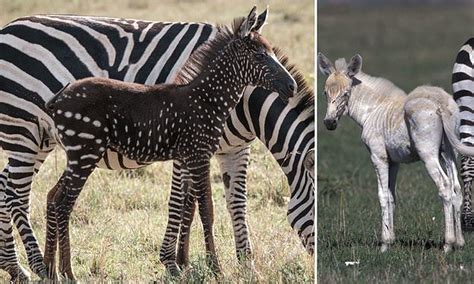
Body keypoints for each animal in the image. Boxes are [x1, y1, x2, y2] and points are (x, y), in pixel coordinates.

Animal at [0, 12, 314, 280]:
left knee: (26, 192)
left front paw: (236, 264)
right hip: (29, 134)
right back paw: (44, 268)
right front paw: (190, 265)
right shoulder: (195, 152)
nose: (291, 88)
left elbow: (223, 203)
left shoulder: (226, 150)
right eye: (260, 55)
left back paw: (29, 268)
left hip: (45, 142)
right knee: (22, 196)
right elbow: (195, 206)